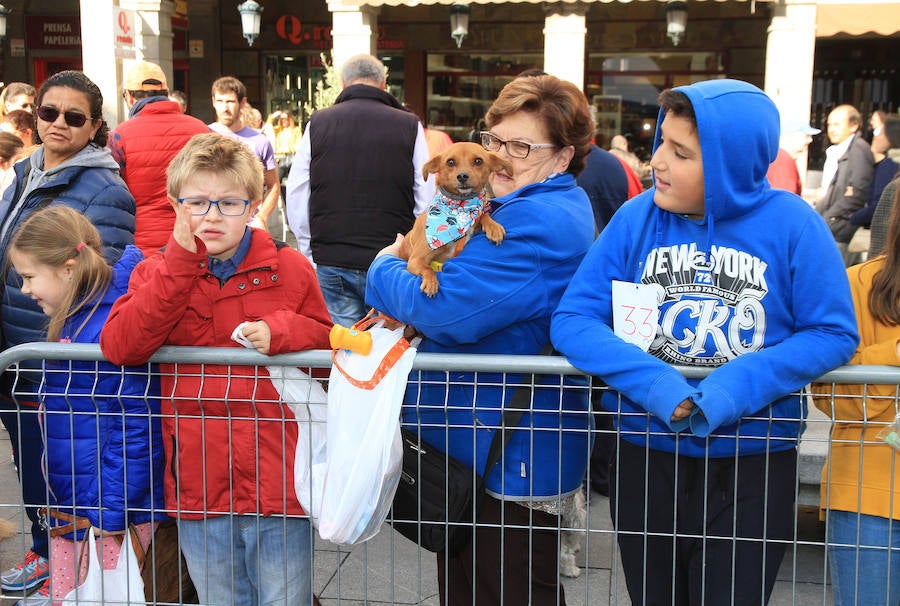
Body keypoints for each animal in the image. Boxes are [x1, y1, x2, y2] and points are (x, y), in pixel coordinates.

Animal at [400, 141, 512, 296]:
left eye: (478, 161)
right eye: (450, 162)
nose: (463, 176)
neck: (460, 208)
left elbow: (483, 214)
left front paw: (493, 228)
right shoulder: (416, 260)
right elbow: (428, 269)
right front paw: (431, 282)